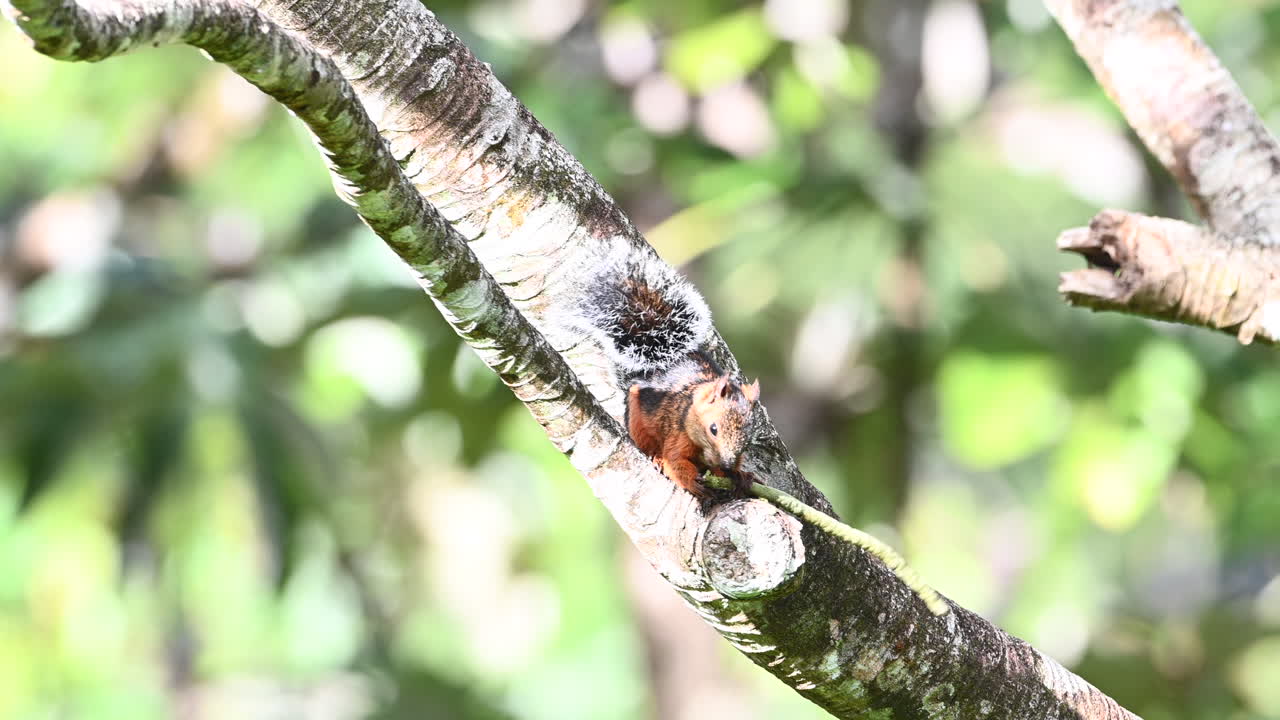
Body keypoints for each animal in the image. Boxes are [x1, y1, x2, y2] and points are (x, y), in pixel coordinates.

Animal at [576, 244, 760, 497]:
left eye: (749, 437)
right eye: (713, 429)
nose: (725, 464)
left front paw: (740, 476)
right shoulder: (676, 434)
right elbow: (676, 461)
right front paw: (692, 481)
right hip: (637, 422)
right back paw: (657, 459)